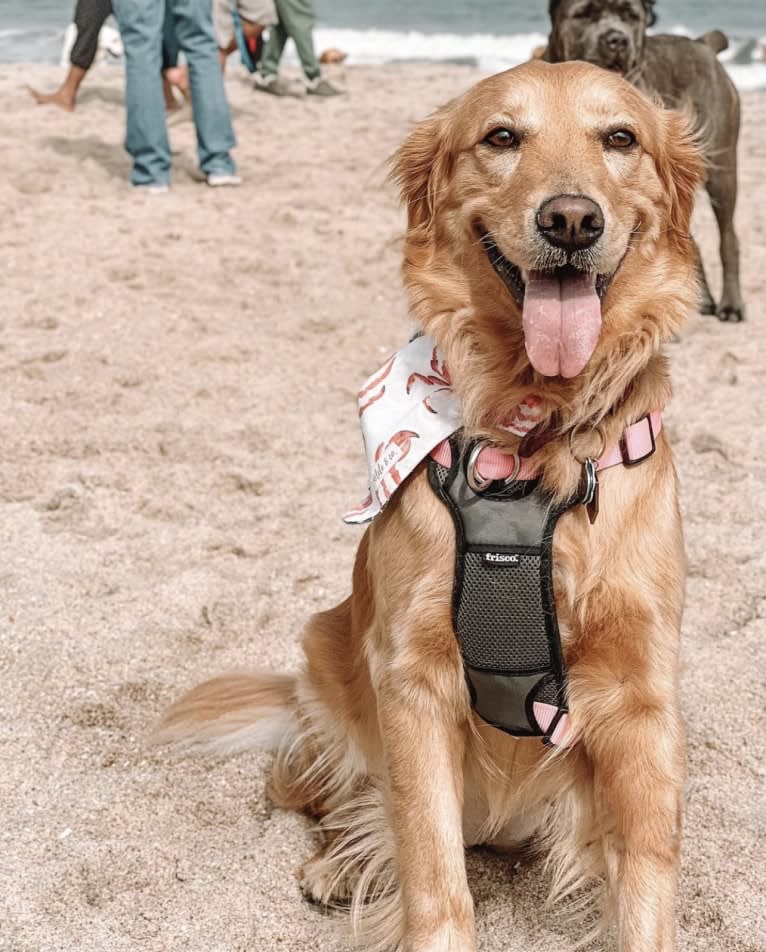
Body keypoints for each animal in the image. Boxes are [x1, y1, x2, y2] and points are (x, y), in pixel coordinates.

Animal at [159, 61, 704, 952]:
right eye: (502, 137)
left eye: (620, 138)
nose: (571, 220)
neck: (533, 441)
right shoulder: (413, 679)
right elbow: (433, 876)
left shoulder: (638, 698)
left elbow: (647, 884)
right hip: (325, 667)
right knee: (330, 799)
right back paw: (337, 862)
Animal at [544, 0, 744, 322]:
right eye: (585, 13)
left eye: (631, 16)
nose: (617, 39)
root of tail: (703, 45)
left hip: (723, 170)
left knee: (728, 238)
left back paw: (731, 304)